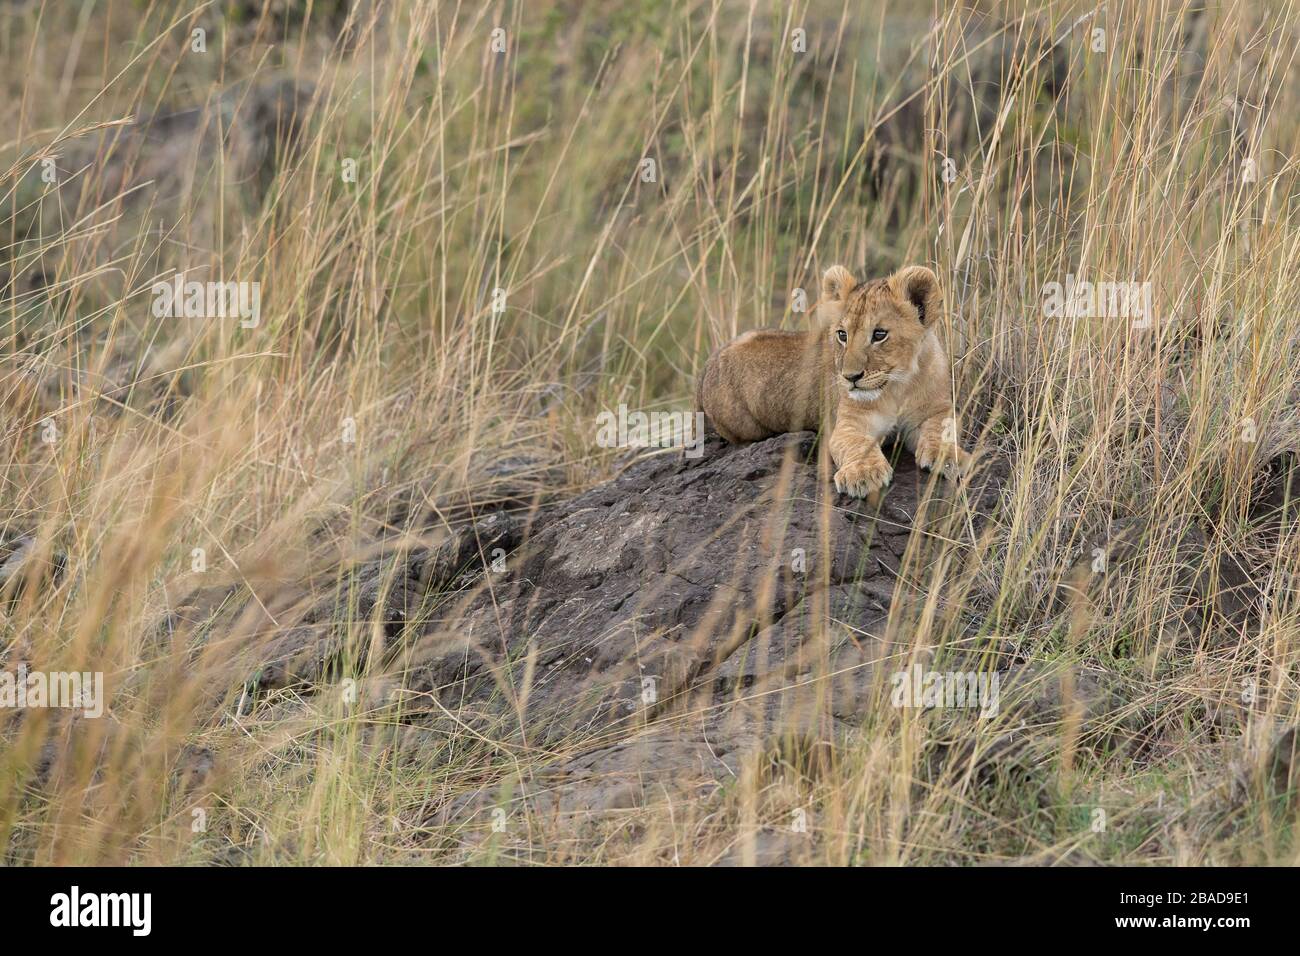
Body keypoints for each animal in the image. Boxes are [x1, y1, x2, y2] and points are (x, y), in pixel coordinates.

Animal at [695, 264, 971, 497]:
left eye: (879, 334)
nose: (850, 377)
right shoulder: (846, 424)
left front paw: (951, 457)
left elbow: (941, 431)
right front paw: (863, 474)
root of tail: (709, 363)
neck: (898, 385)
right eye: (842, 335)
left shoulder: (935, 410)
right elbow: (857, 444)